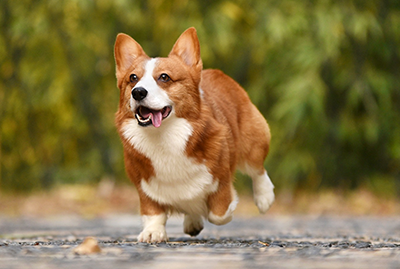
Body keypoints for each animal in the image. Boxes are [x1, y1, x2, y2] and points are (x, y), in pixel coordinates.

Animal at [114, 27, 274, 243]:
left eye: (164, 77)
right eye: (133, 78)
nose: (138, 92)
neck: (164, 137)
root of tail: (215, 72)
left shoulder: (221, 178)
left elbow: (219, 213)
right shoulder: (143, 184)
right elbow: (152, 212)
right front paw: (153, 232)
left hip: (253, 142)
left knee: (257, 169)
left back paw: (265, 197)